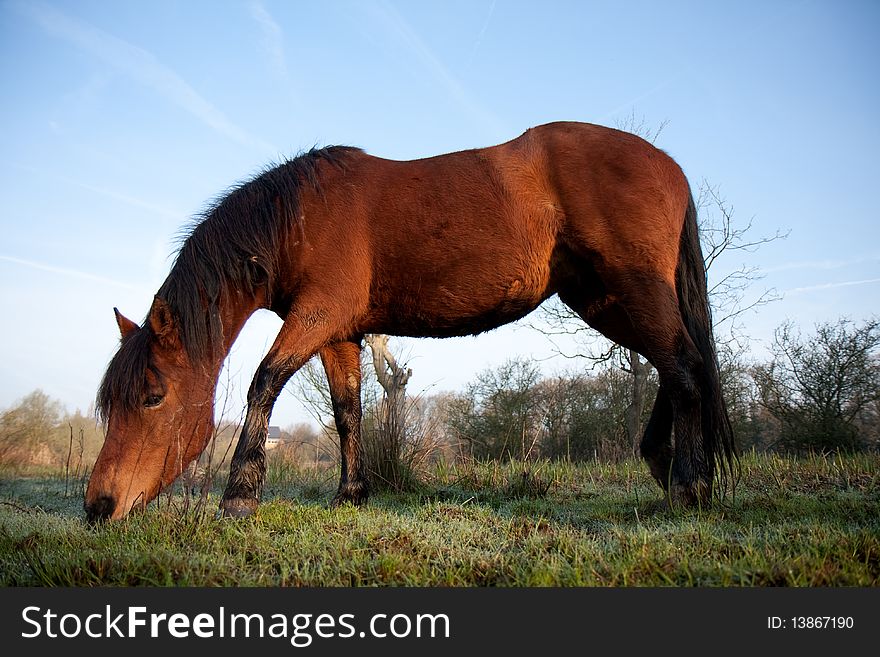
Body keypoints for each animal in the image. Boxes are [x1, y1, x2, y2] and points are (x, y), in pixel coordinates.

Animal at [87, 121, 736, 524]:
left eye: (151, 396)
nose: (98, 507)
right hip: (603, 300)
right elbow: (348, 412)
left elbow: (264, 382)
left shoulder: (315, 315)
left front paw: (240, 496)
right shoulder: (339, 332)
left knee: (682, 366)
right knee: (674, 364)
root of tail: (669, 166)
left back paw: (690, 485)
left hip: (632, 290)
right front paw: (351, 495)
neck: (300, 216)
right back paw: (664, 465)